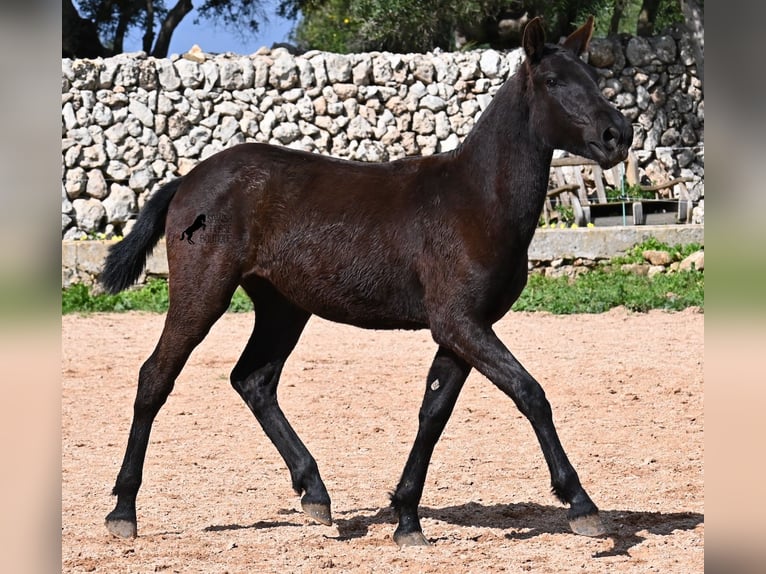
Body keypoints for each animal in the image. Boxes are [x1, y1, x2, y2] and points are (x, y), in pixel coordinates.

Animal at [99, 16, 632, 548]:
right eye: (553, 81)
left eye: (593, 76)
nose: (617, 134)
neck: (476, 199)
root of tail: (186, 182)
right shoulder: (460, 322)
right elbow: (530, 394)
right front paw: (581, 505)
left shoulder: (462, 330)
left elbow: (433, 412)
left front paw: (406, 516)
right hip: (203, 293)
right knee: (156, 377)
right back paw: (123, 510)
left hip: (283, 307)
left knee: (253, 380)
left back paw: (315, 494)